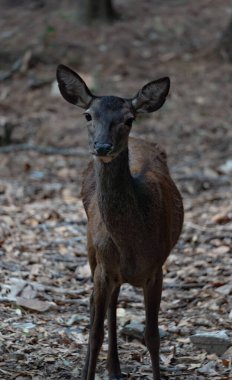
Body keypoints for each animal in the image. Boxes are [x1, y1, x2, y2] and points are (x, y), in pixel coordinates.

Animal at [56, 63, 183, 378]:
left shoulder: (156, 269)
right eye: (88, 115)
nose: (102, 146)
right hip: (92, 249)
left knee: (111, 303)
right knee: (96, 307)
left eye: (129, 119)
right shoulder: (104, 267)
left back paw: (114, 368)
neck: (133, 244)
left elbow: (153, 336)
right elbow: (94, 333)